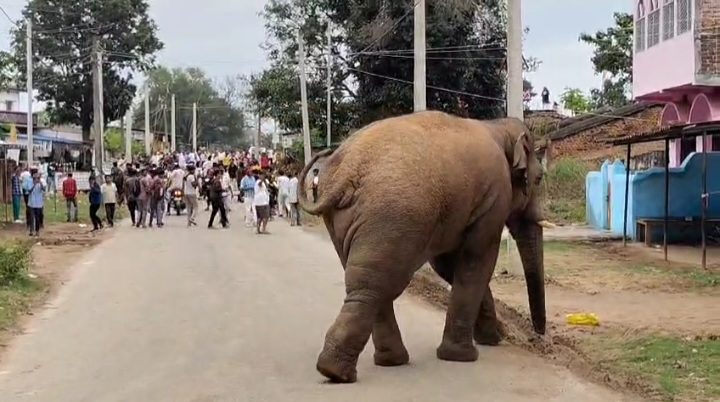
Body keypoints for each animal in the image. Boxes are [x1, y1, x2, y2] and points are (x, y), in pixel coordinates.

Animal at [297, 110, 553, 383]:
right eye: (538, 179)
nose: (538, 337)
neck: (497, 126)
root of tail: (345, 172)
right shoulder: (494, 196)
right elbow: (477, 260)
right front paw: (465, 354)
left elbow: (449, 266)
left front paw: (492, 338)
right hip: (393, 216)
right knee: (379, 284)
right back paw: (338, 371)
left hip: (344, 221)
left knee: (368, 281)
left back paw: (379, 363)